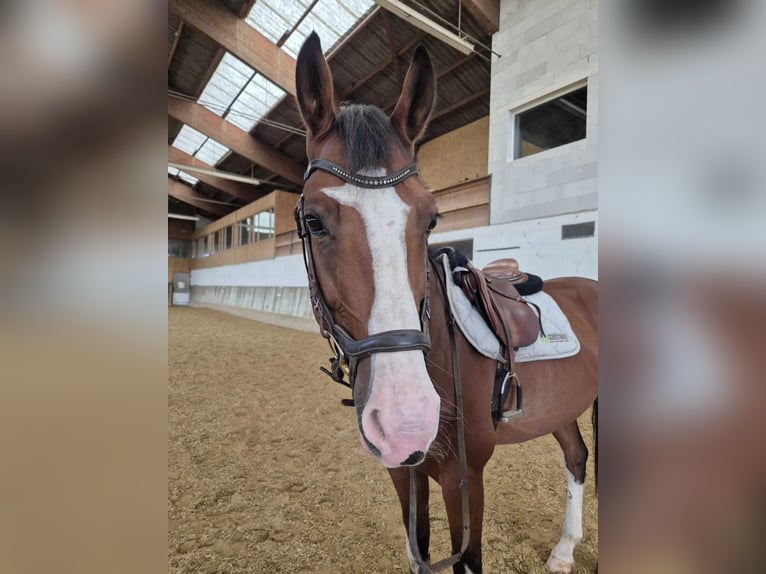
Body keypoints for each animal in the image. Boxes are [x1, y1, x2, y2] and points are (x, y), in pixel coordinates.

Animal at [294, 32, 600, 574]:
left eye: (432, 218)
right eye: (313, 220)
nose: (406, 420)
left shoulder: (466, 479)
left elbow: (467, 560)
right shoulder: (404, 473)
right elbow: (418, 550)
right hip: (563, 408)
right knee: (577, 458)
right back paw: (564, 551)